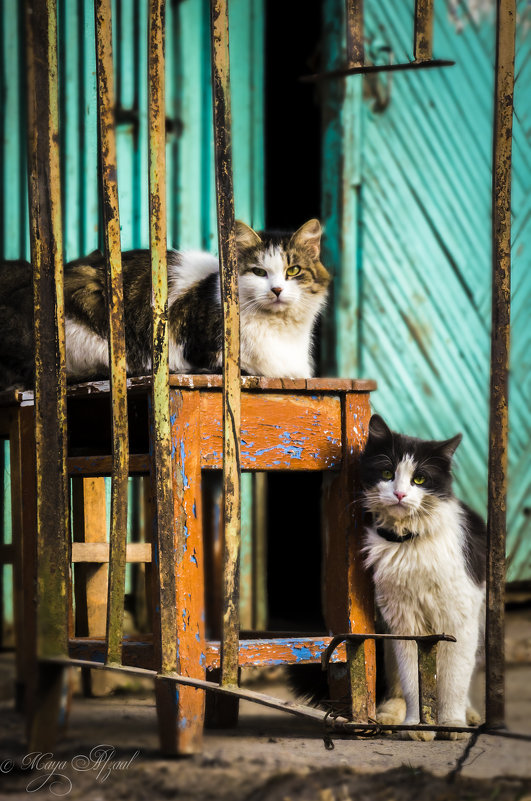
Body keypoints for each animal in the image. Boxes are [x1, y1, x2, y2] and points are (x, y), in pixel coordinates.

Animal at [362, 416, 486, 740]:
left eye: (419, 479)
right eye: (387, 473)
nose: (400, 494)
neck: (410, 543)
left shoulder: (460, 622)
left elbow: (454, 682)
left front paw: (452, 723)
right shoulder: (404, 624)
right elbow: (412, 682)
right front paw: (418, 726)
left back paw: (469, 715)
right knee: (397, 686)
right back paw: (389, 716)